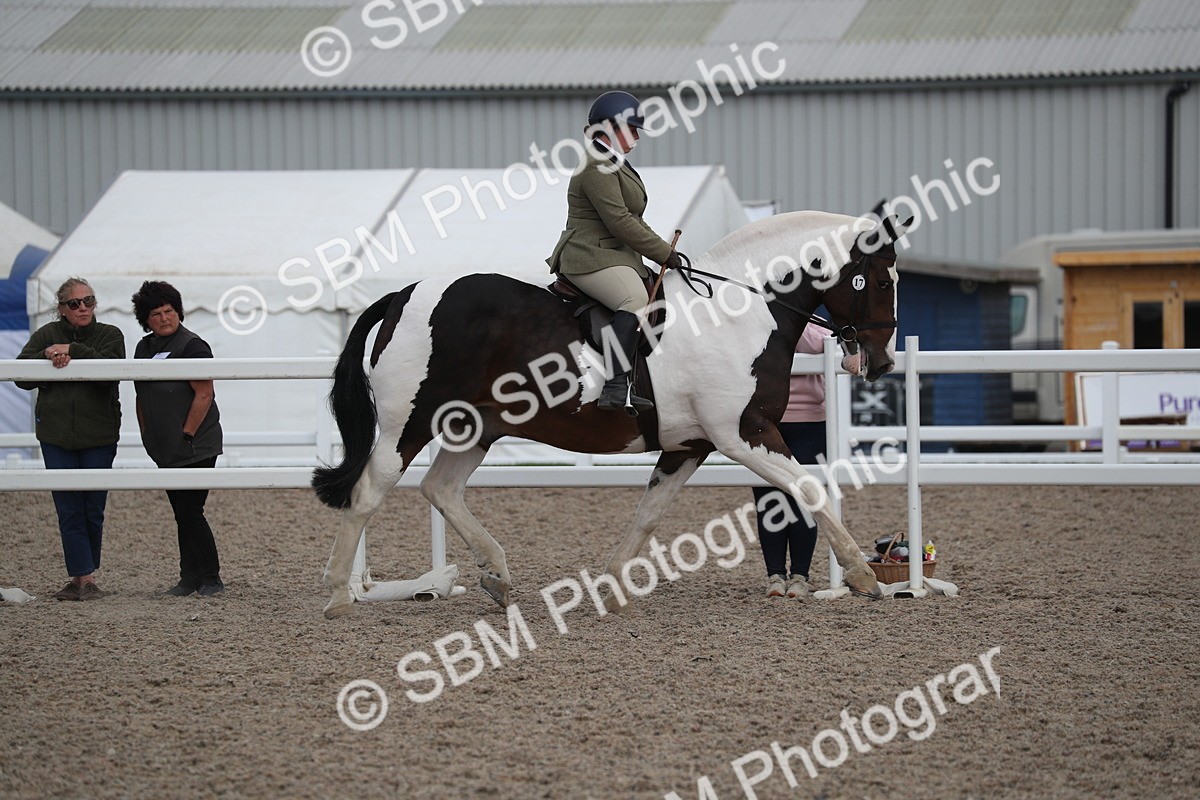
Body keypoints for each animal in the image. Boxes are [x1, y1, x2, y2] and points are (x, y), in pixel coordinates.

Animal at [313, 206, 907, 619]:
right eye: (882, 281)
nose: (880, 363)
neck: (737, 312)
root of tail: (404, 295)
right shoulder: (744, 433)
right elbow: (809, 488)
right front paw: (862, 576)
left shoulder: (690, 445)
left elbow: (649, 513)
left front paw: (615, 587)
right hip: (408, 422)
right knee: (370, 491)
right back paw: (340, 596)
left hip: (473, 427)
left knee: (441, 489)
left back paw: (498, 576)